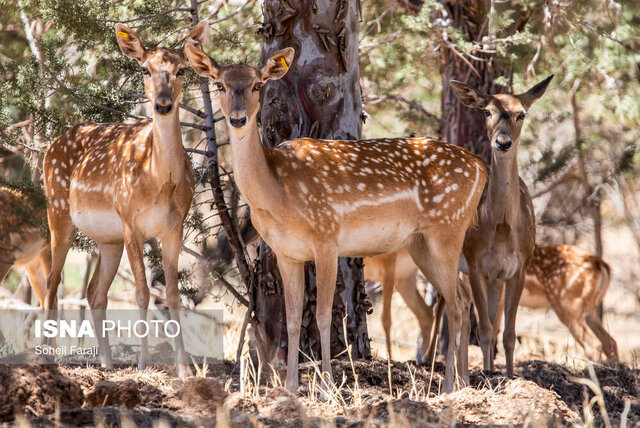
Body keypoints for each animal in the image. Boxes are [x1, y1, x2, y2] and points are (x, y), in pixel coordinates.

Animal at [42, 20, 208, 378]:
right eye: (145, 69)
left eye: (182, 70)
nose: (162, 104)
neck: (160, 181)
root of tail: (52, 144)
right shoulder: (131, 220)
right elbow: (142, 292)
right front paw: (144, 364)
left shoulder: (175, 226)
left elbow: (172, 294)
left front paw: (185, 369)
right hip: (58, 209)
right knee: (52, 281)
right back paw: (49, 357)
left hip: (108, 238)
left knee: (95, 292)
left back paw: (106, 363)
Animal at [182, 41, 488, 392]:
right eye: (220, 84)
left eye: (257, 85)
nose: (237, 118)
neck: (279, 194)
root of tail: (481, 166)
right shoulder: (285, 252)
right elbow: (292, 320)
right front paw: (291, 387)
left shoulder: (326, 235)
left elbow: (324, 315)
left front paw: (327, 385)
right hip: (420, 242)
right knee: (462, 298)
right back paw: (463, 382)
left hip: (447, 228)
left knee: (455, 305)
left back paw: (449, 386)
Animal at [450, 75, 556, 376]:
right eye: (487, 112)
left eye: (522, 114)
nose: (503, 142)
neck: (502, 228)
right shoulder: (475, 263)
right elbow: (484, 330)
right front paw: (488, 375)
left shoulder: (519, 267)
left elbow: (508, 333)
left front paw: (509, 376)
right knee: (462, 316)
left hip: (495, 278)